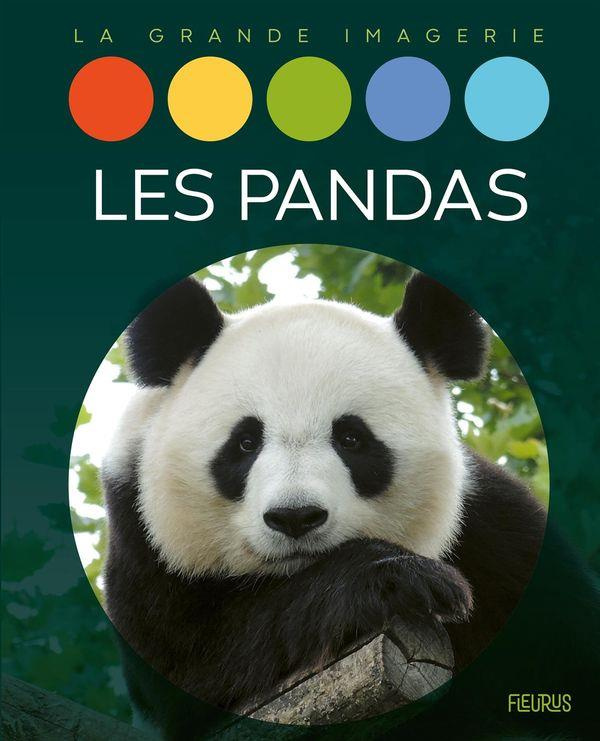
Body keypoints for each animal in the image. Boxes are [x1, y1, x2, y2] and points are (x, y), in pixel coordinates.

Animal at [102, 272, 549, 737]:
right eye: (245, 442)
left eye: (351, 438)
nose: (295, 517)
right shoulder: (142, 536)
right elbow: (199, 657)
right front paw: (400, 579)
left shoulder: (497, 534)